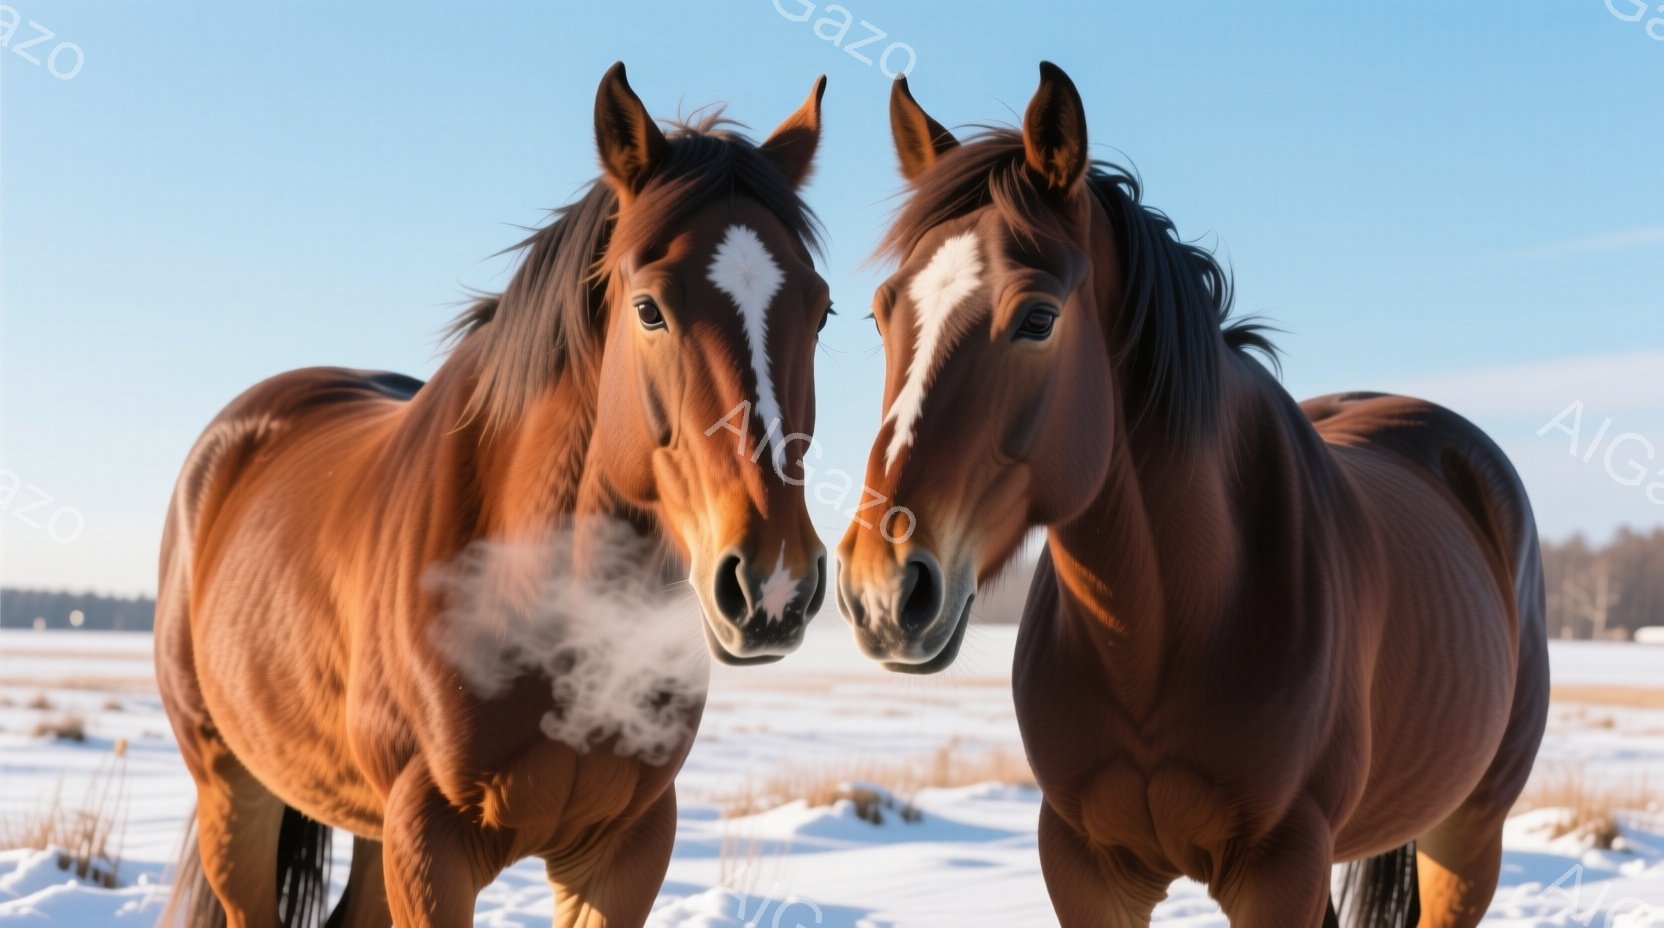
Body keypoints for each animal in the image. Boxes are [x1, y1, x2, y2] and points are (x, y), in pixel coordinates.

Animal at [156, 63, 833, 928]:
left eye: (822, 312)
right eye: (649, 308)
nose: (772, 582)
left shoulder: (626, 848)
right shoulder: (430, 845)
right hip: (233, 787)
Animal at [836, 63, 1548, 927]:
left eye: (1038, 317)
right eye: (881, 314)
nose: (881, 587)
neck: (1166, 632)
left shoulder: (1282, 870)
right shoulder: (1084, 867)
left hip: (1468, 837)